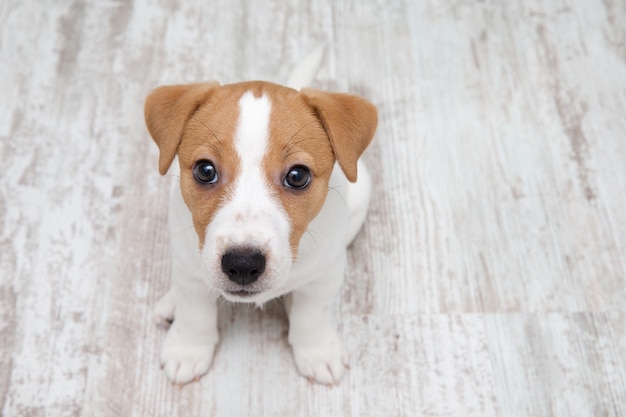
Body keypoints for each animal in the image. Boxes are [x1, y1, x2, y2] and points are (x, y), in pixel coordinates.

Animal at [144, 50, 376, 386]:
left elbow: (312, 314)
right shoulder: (188, 266)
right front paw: (188, 349)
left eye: (297, 176)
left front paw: (317, 351)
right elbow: (195, 311)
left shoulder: (326, 272)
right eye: (205, 170)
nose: (242, 264)